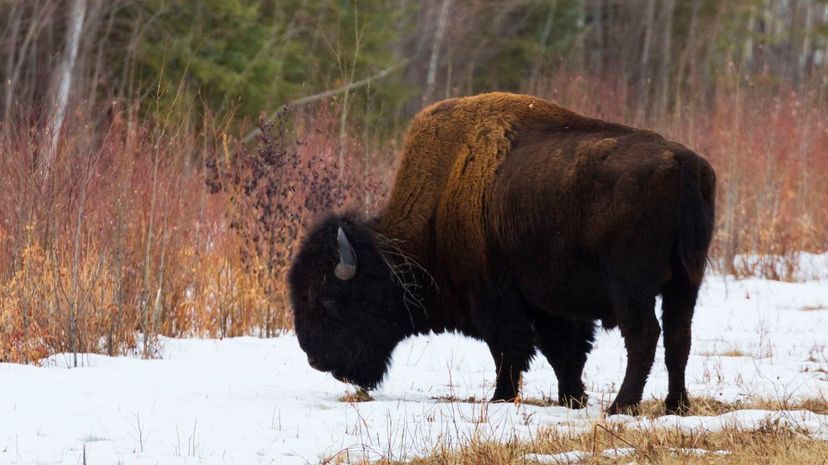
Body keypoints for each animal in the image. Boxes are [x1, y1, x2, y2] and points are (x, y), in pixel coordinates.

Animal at [288, 92, 715, 414]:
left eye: (327, 300)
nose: (314, 358)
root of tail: (683, 163)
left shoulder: (495, 300)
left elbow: (511, 350)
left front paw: (501, 398)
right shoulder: (550, 306)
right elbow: (565, 353)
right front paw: (571, 399)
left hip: (631, 288)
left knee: (644, 336)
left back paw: (621, 407)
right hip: (686, 281)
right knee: (678, 337)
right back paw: (676, 406)